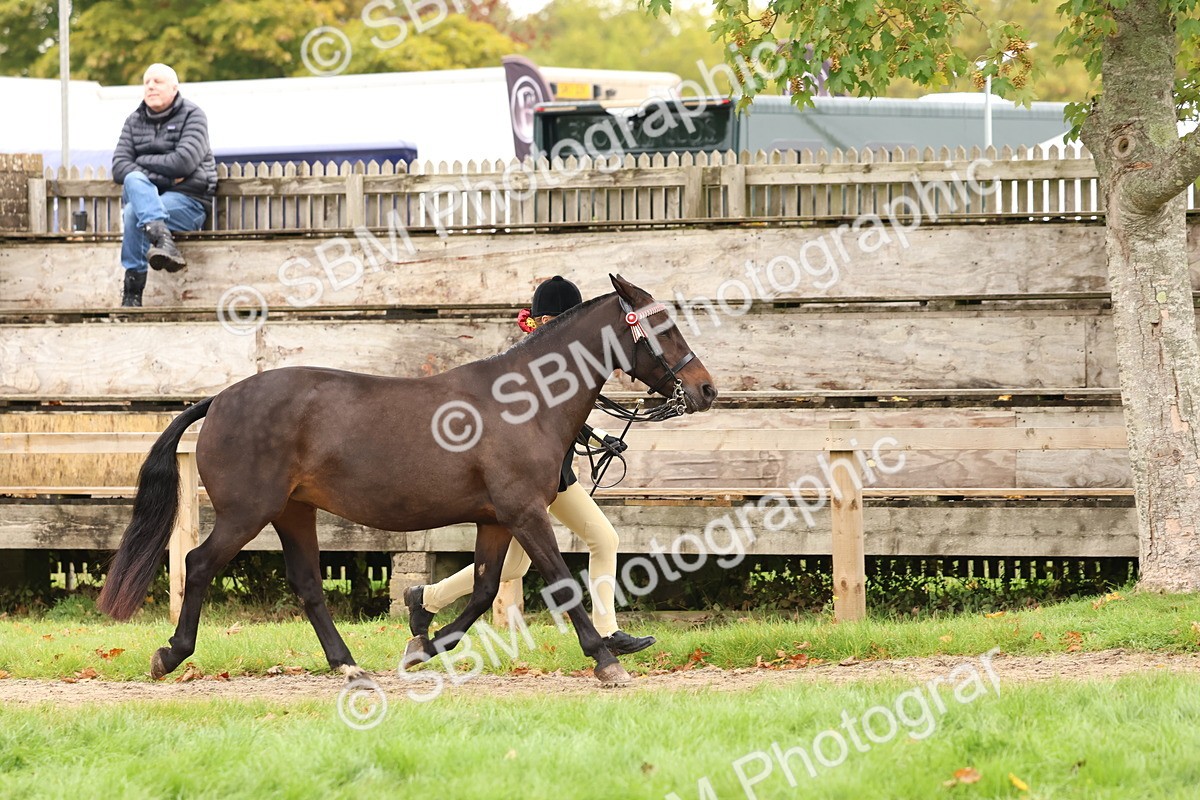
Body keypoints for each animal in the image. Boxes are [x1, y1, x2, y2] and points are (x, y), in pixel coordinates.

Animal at [97, 275, 717, 686]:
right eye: (662, 326)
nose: (707, 389)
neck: (527, 401)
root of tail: (220, 399)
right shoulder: (523, 512)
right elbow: (561, 583)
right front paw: (607, 661)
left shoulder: (497, 520)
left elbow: (485, 589)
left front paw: (423, 643)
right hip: (248, 513)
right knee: (199, 564)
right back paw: (170, 654)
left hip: (294, 511)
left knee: (307, 583)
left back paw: (348, 664)